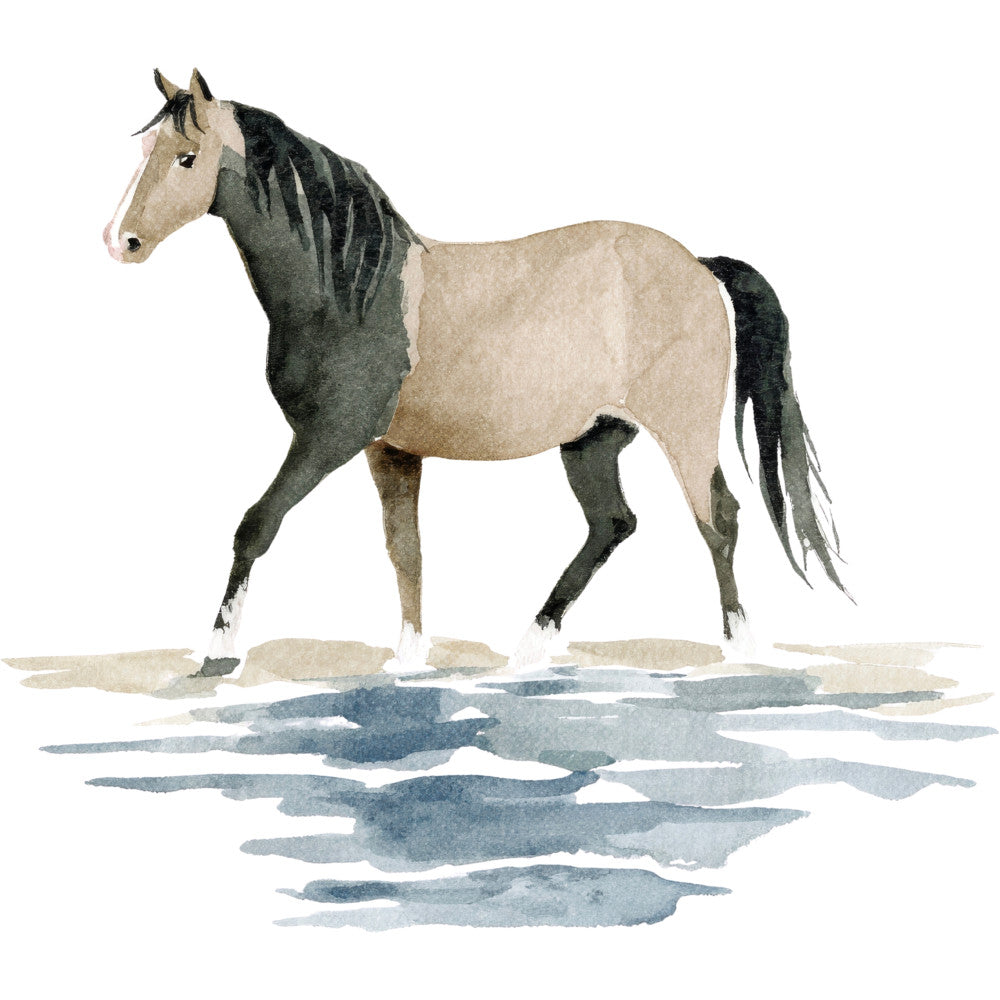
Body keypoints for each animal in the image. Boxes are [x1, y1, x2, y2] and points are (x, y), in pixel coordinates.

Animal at [104, 69, 845, 676]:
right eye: (144, 153)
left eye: (186, 157)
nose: (120, 241)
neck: (351, 287)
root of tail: (697, 263)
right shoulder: (389, 450)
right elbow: (406, 551)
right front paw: (407, 659)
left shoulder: (330, 439)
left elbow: (256, 524)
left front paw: (218, 649)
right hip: (593, 438)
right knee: (613, 524)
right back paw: (531, 647)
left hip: (682, 431)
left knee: (718, 518)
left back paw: (741, 648)